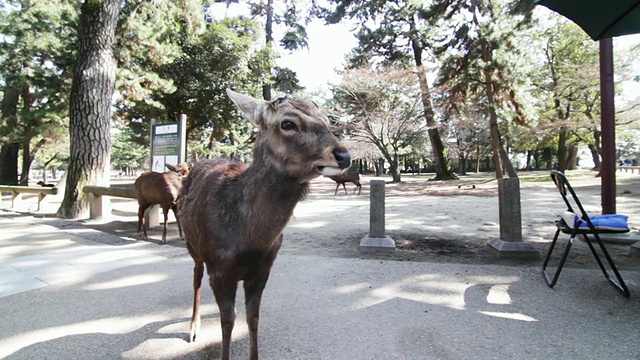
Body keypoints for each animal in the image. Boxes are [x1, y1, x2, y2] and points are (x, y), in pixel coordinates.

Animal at [179, 88, 350, 360]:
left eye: (326, 120)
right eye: (288, 123)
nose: (344, 155)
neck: (249, 241)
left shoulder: (263, 271)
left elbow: (253, 318)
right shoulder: (220, 271)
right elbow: (228, 321)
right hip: (192, 245)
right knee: (196, 276)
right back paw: (193, 329)